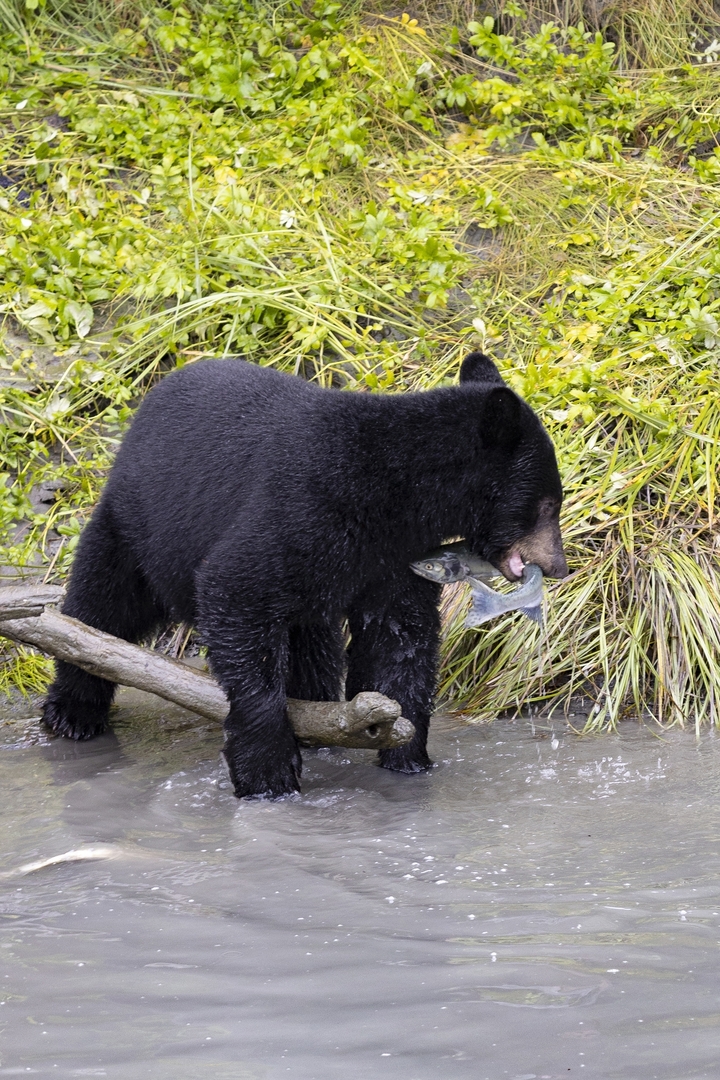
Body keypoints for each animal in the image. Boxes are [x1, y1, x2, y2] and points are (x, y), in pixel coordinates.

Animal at [42, 351, 567, 798]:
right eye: (547, 504)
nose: (558, 568)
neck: (394, 493)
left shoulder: (393, 557)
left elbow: (401, 635)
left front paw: (406, 753)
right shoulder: (304, 507)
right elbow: (235, 590)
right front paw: (267, 771)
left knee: (313, 651)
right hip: (136, 524)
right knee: (100, 607)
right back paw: (72, 711)